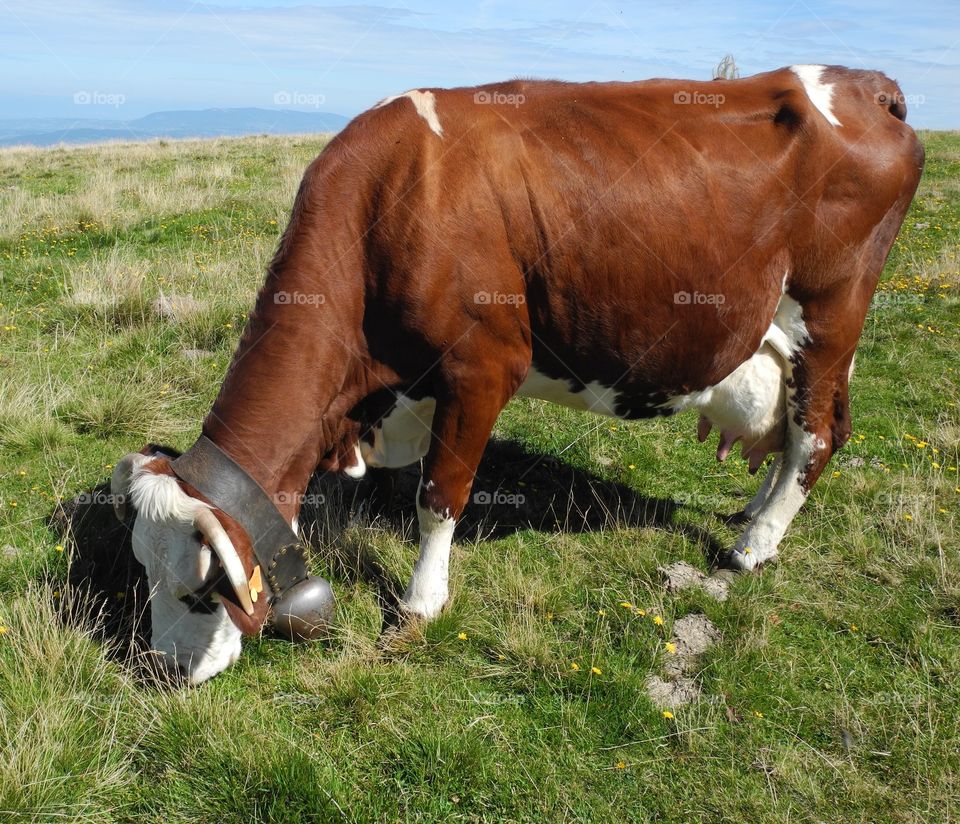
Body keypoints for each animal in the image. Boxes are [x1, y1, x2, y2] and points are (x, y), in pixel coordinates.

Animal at [111, 65, 923, 683]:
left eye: (198, 592)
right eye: (141, 571)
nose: (164, 671)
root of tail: (862, 84)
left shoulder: (479, 370)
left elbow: (440, 497)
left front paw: (420, 604)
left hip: (830, 315)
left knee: (816, 435)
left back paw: (753, 549)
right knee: (808, 430)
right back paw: (754, 515)